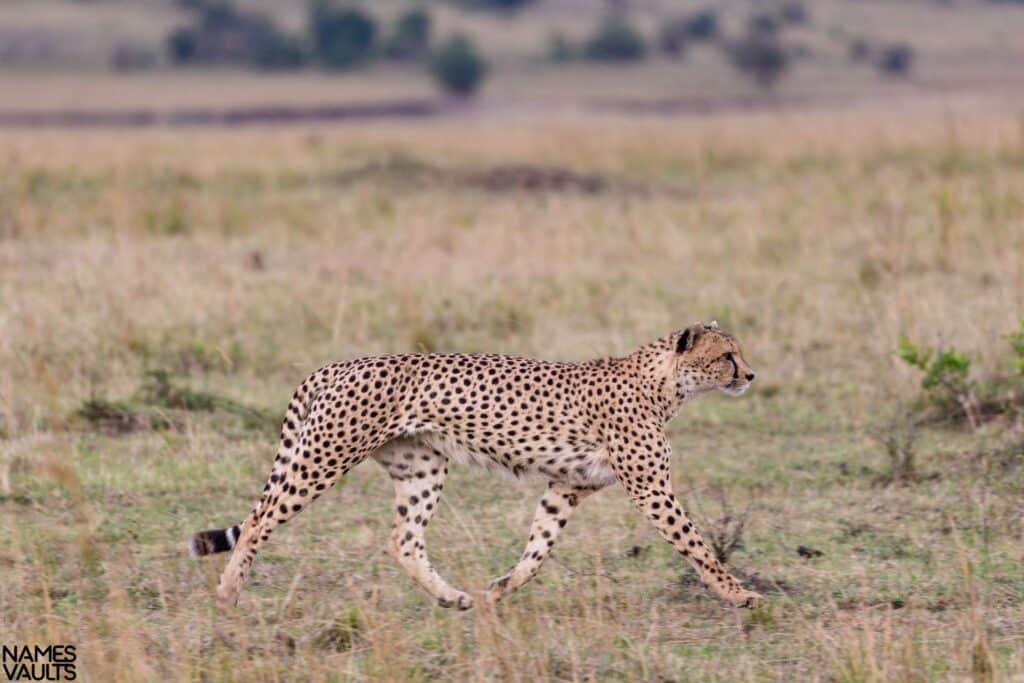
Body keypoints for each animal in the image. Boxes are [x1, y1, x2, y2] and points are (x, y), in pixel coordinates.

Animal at [192, 323, 765, 610]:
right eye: (727, 356)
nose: (751, 375)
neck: (663, 383)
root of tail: (338, 363)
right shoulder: (651, 488)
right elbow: (697, 545)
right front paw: (739, 593)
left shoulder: (567, 486)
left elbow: (538, 549)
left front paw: (501, 588)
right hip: (324, 456)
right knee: (260, 519)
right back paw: (228, 593)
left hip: (422, 467)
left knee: (403, 540)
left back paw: (451, 597)